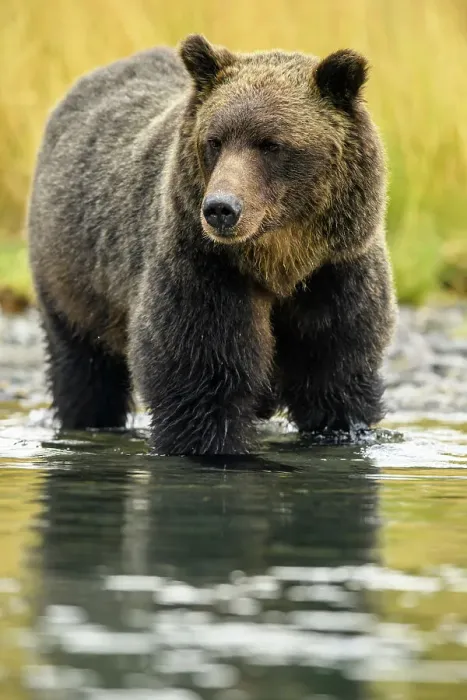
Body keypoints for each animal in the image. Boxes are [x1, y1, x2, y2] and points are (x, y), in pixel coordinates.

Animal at [28, 34, 396, 455]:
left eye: (271, 144)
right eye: (215, 141)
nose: (221, 208)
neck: (280, 261)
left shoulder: (335, 273)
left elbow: (335, 374)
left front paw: (342, 431)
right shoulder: (204, 268)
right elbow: (200, 375)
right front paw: (211, 445)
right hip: (72, 279)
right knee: (84, 371)